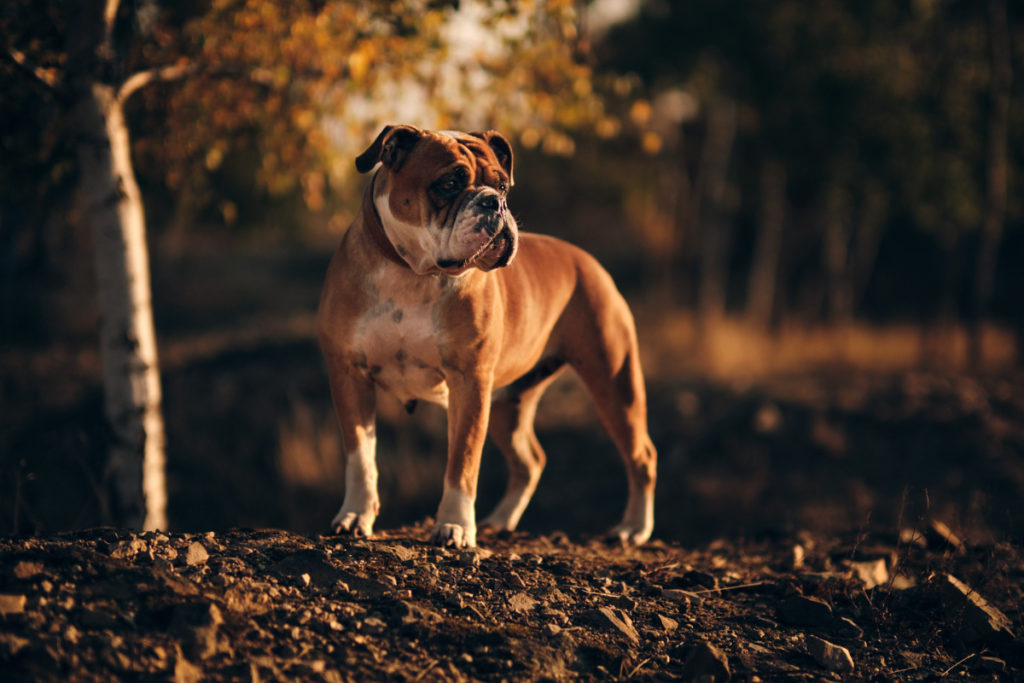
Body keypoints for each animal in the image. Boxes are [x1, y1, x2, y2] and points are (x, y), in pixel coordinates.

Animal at [315, 125, 659, 548]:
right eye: (448, 184)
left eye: (503, 186)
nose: (495, 203)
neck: (412, 273)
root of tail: (588, 261)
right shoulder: (349, 375)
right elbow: (361, 457)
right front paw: (354, 516)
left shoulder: (469, 383)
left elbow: (462, 461)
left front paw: (455, 526)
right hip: (509, 403)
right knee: (530, 462)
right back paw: (501, 521)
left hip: (614, 383)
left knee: (641, 455)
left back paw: (633, 529)